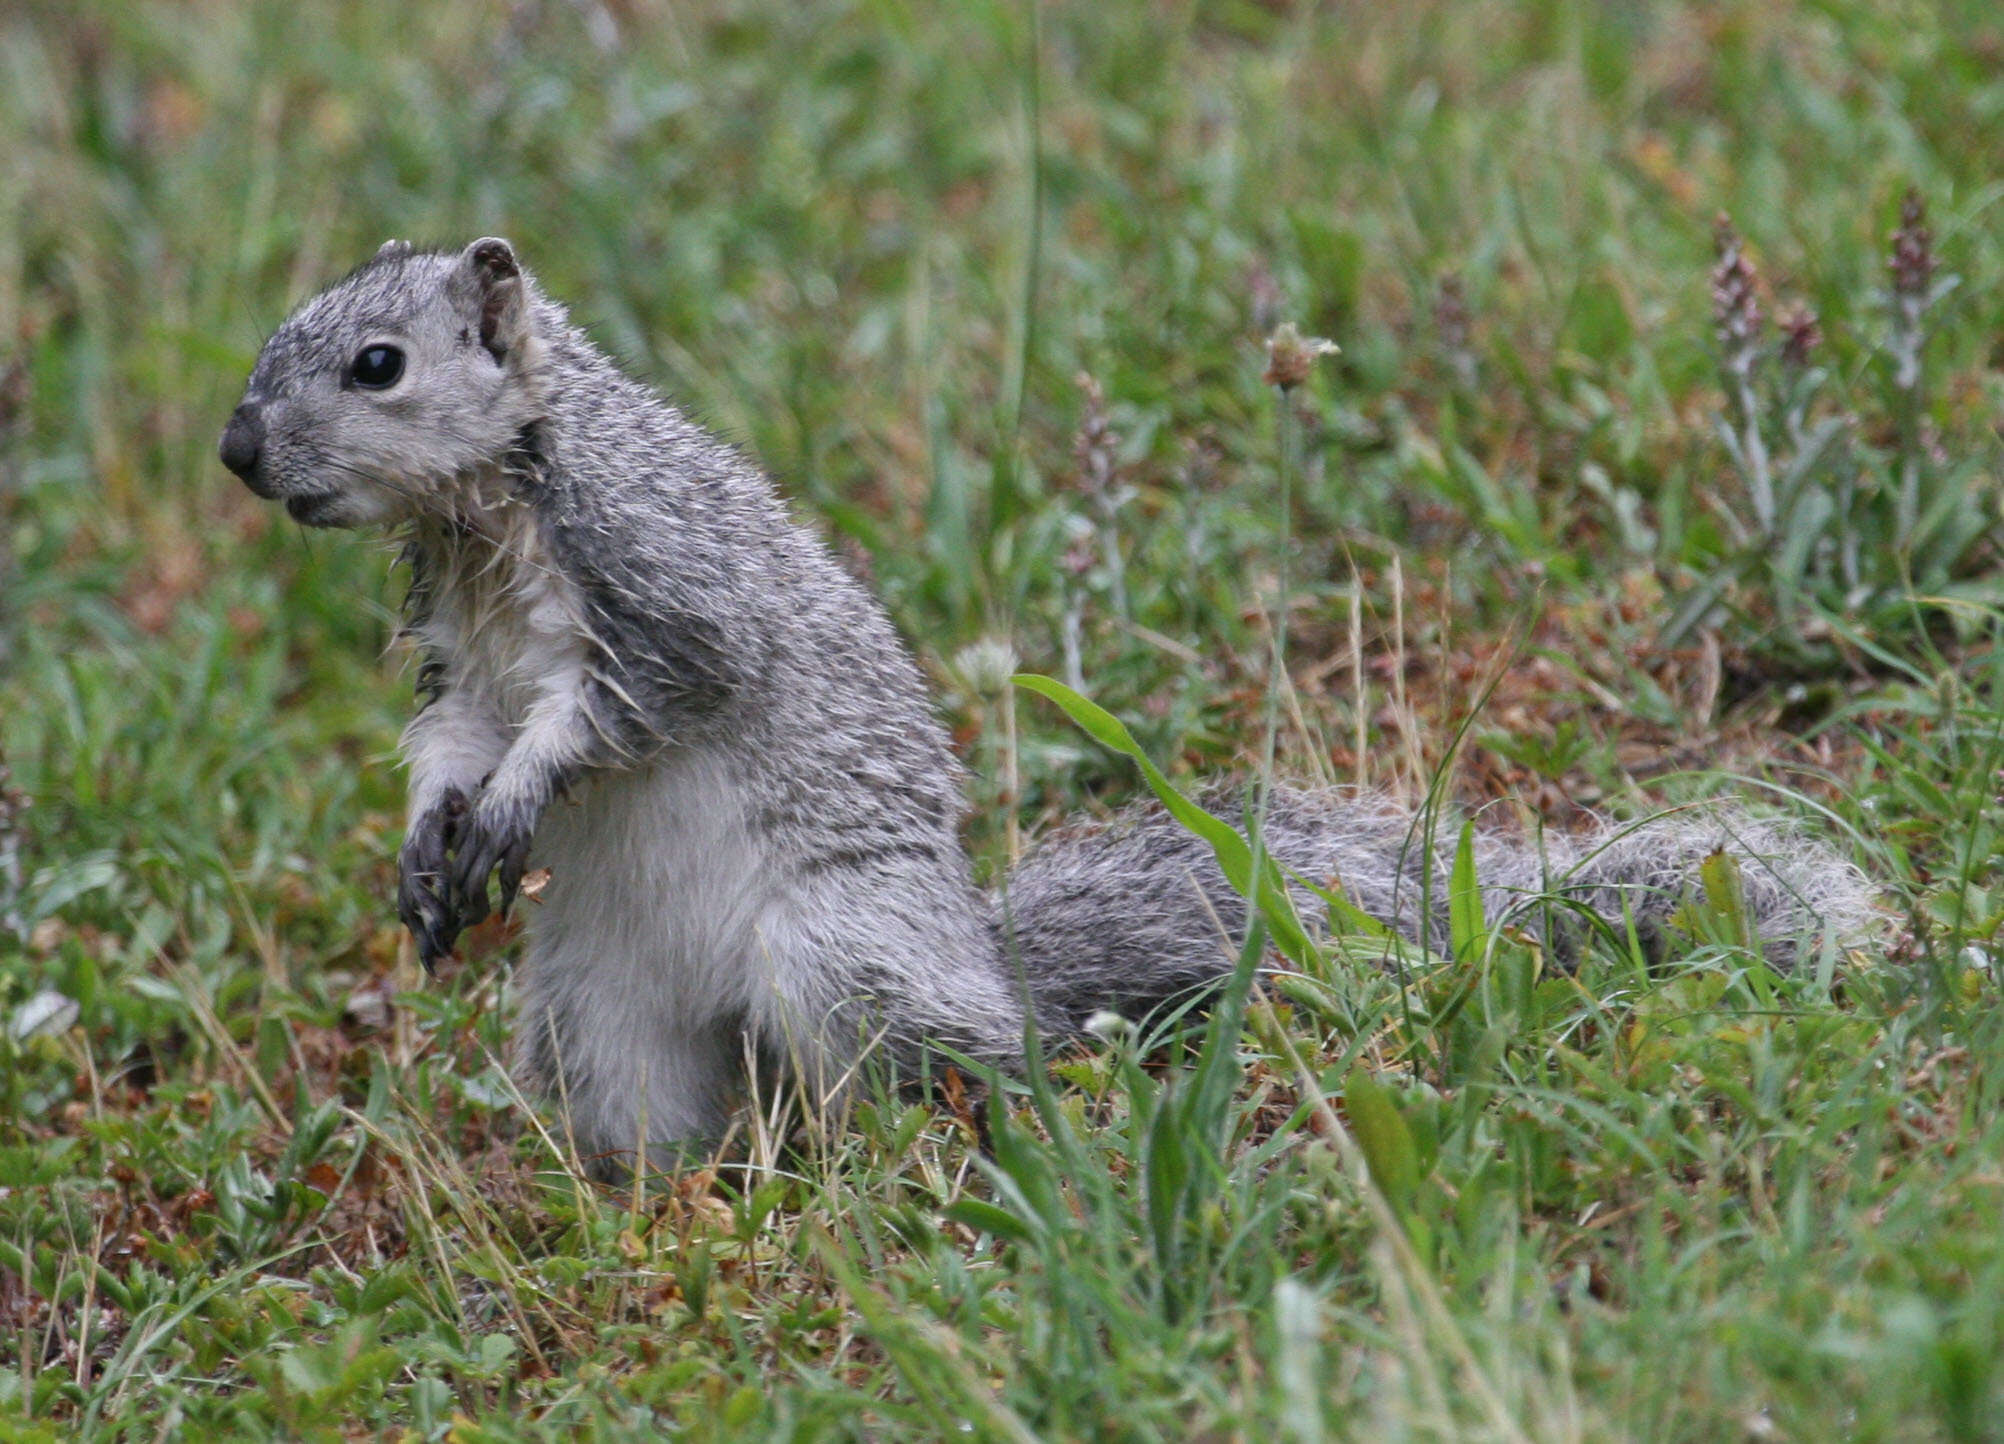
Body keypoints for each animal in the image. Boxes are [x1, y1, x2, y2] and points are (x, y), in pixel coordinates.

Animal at [219, 239, 1875, 1169]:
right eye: (282, 336)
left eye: (379, 365)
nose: (238, 451)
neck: (481, 523)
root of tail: (982, 965)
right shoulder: (457, 648)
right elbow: (448, 736)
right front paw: (430, 838)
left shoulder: (665, 592)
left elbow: (624, 708)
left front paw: (512, 804)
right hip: (601, 1030)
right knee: (670, 1126)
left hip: (842, 960)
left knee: (954, 1077)